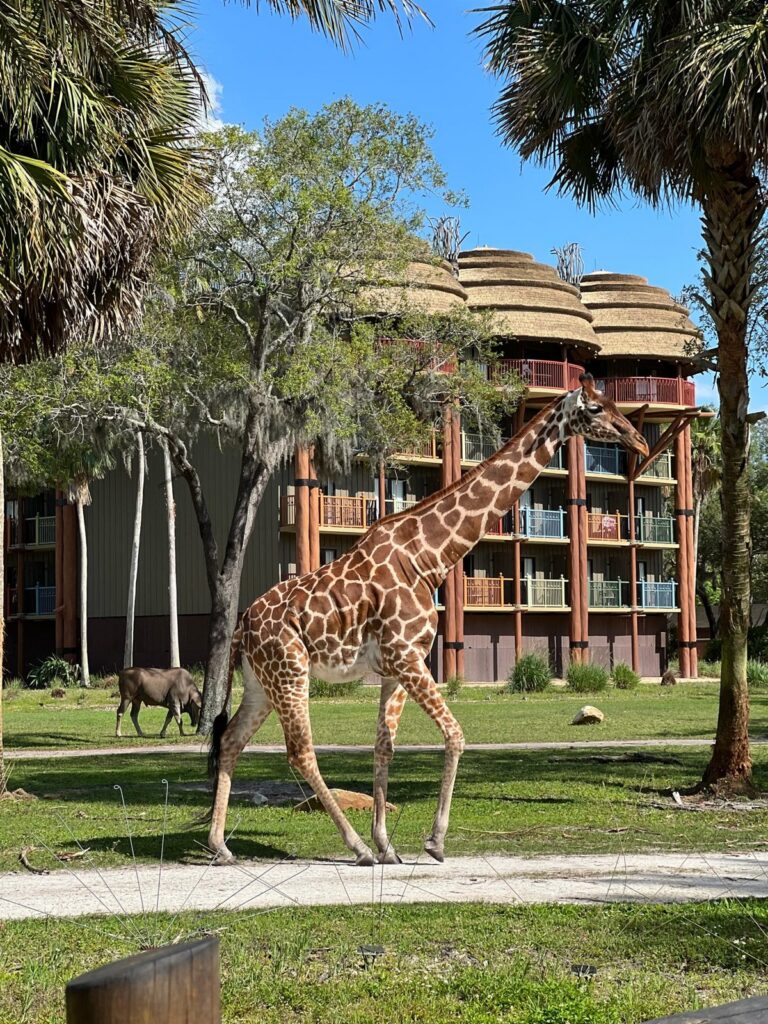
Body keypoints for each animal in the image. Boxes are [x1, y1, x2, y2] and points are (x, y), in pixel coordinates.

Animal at [206, 374, 649, 866]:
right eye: (595, 408)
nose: (639, 440)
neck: (429, 558)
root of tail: (243, 625)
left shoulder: (397, 666)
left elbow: (384, 748)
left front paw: (388, 845)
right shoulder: (407, 656)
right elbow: (455, 734)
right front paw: (432, 842)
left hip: (261, 682)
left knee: (231, 741)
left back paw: (221, 846)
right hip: (290, 670)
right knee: (300, 752)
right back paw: (355, 847)